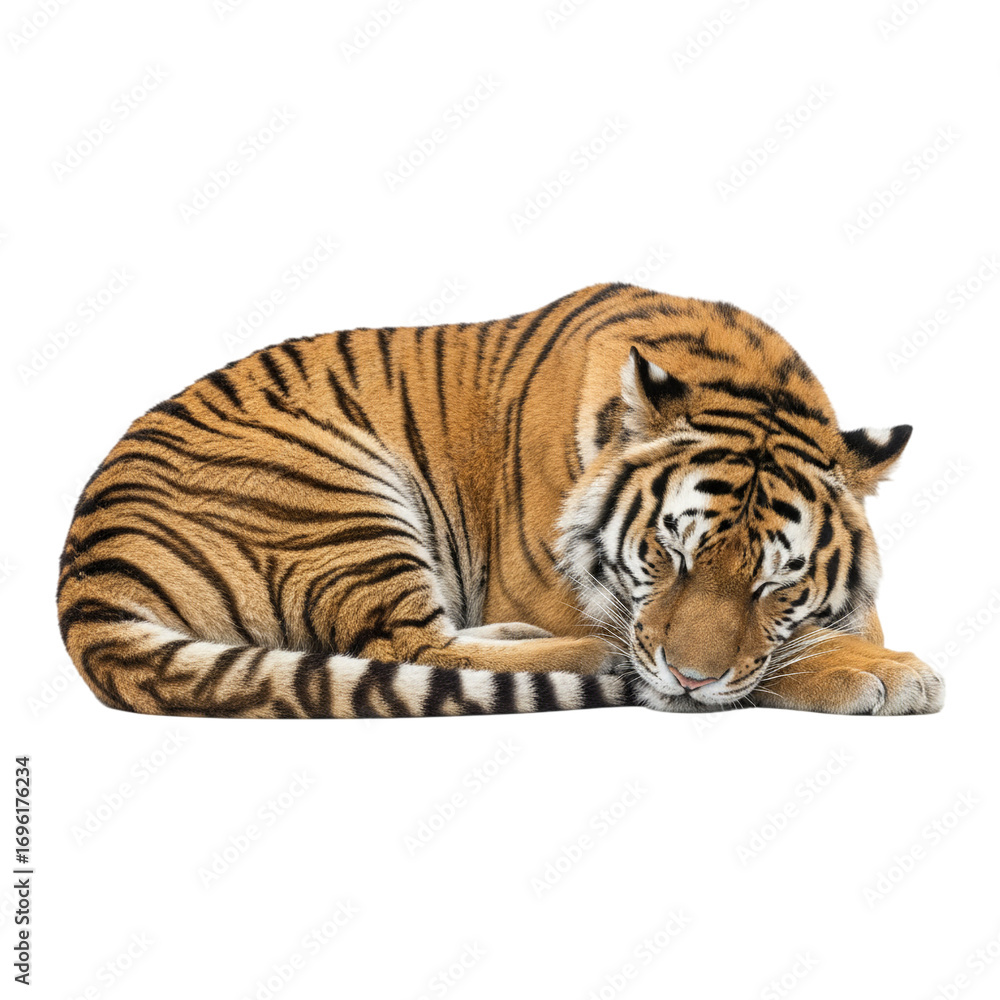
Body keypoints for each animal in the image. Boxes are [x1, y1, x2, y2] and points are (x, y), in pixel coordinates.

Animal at [57, 283, 944, 719]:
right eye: (669, 554)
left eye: (775, 583)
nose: (688, 681)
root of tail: (83, 570)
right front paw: (882, 674)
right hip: (336, 492)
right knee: (410, 647)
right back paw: (591, 658)